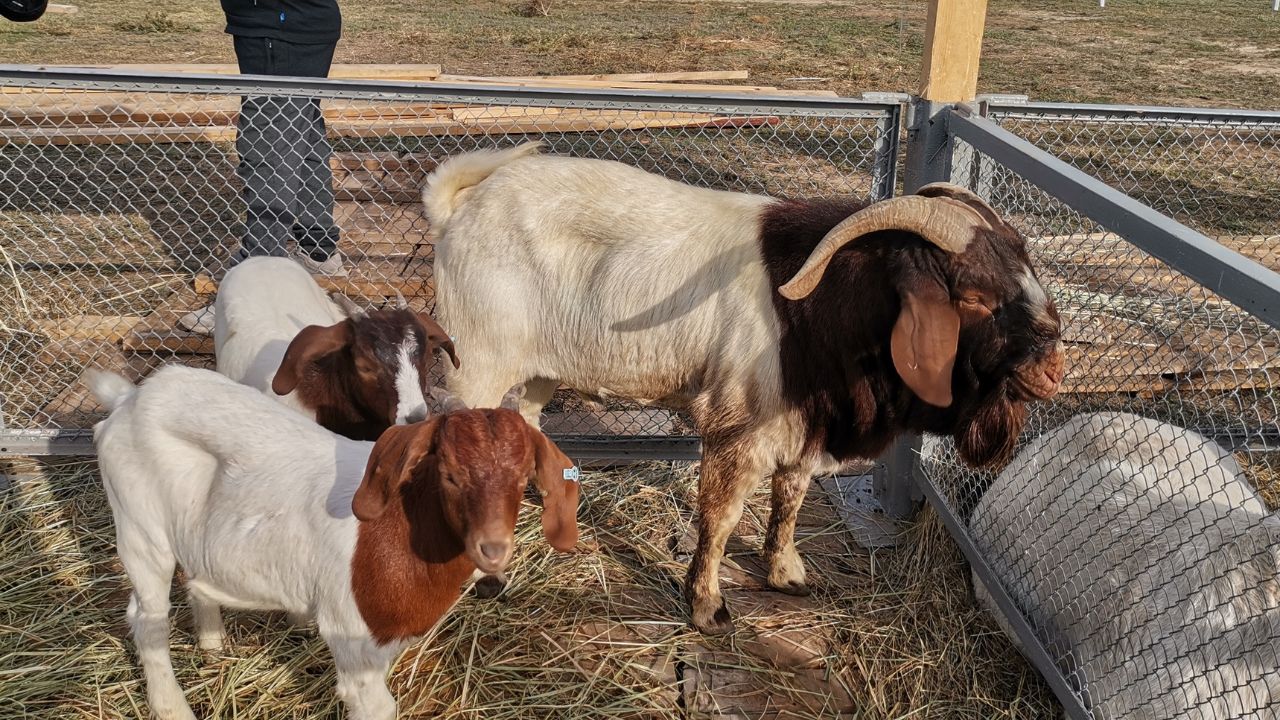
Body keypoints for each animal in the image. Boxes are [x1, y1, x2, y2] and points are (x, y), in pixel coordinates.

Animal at [86, 365, 579, 720]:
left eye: (523, 478)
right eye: (450, 474)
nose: (493, 554)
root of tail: (129, 398)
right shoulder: (352, 639)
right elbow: (376, 705)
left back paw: (212, 642)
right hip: (139, 529)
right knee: (147, 617)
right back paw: (172, 706)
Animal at [422, 142, 1065, 634]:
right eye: (973, 295)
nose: (1054, 368)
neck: (821, 305)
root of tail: (457, 209)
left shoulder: (804, 424)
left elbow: (790, 499)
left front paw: (787, 575)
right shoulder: (740, 427)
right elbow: (722, 515)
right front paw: (708, 607)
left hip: (539, 367)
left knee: (526, 419)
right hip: (479, 361)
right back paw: (486, 571)